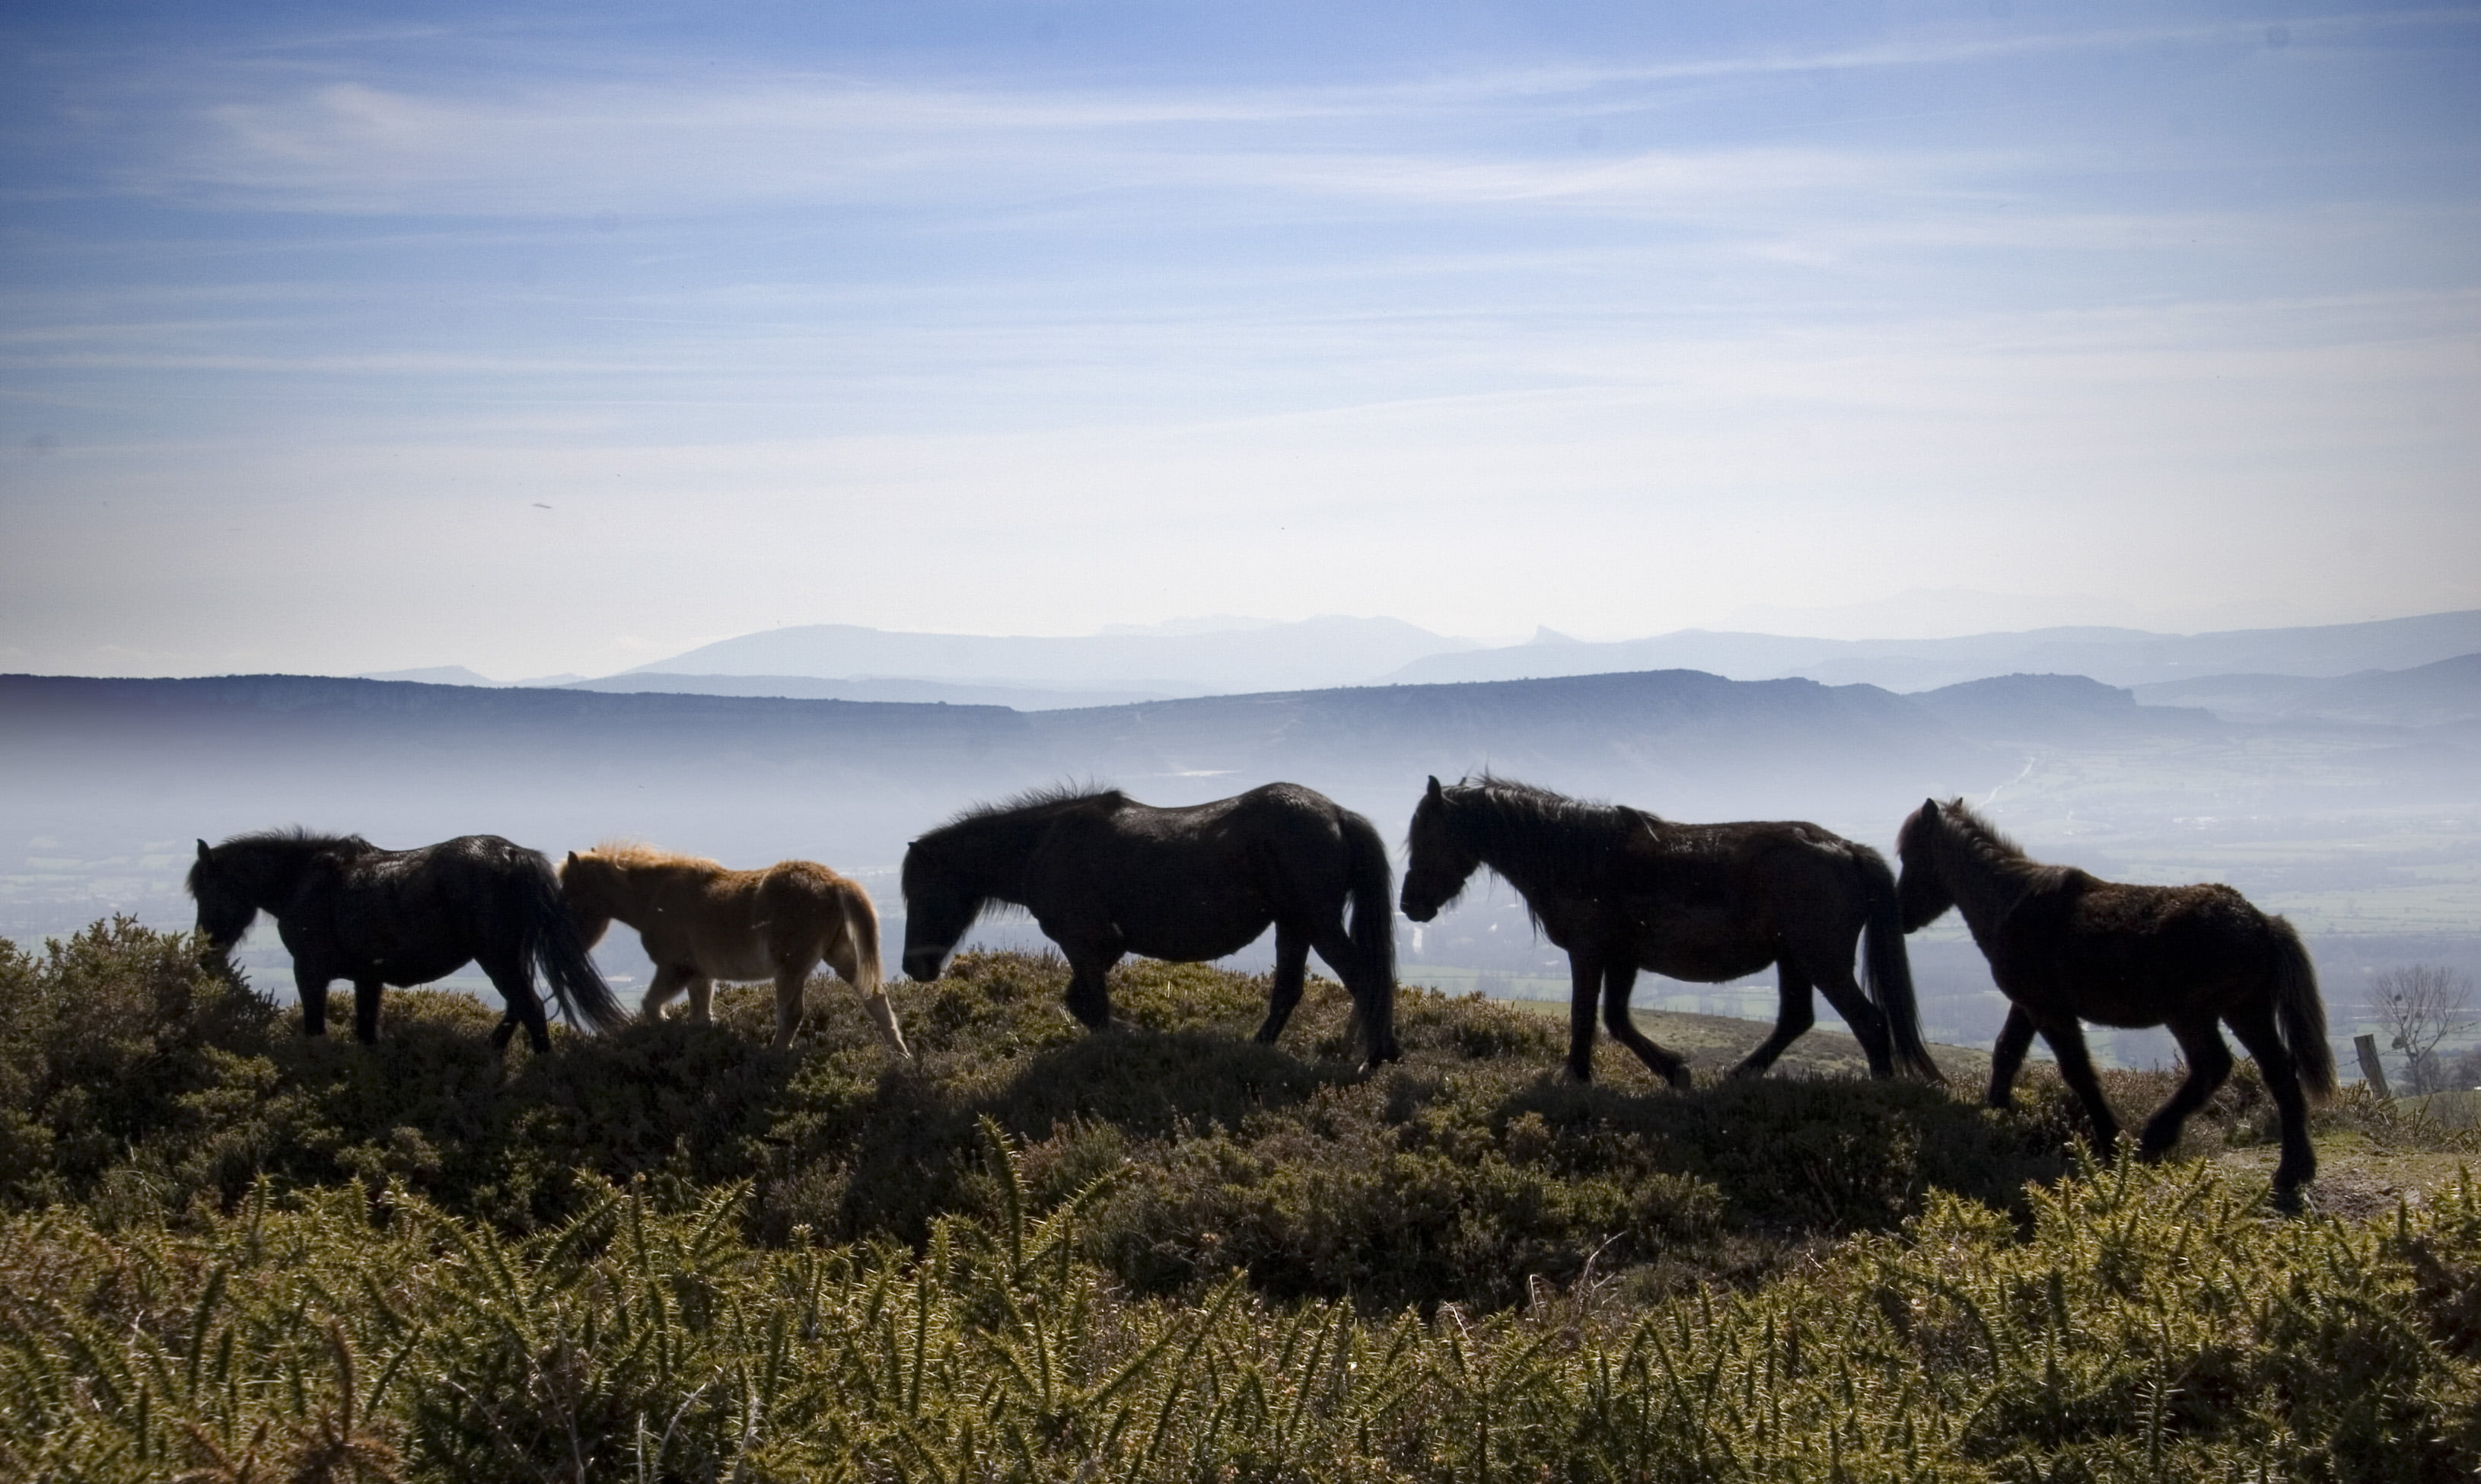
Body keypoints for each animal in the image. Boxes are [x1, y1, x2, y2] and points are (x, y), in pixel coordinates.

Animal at [186, 830, 627, 1054]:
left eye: (205, 890)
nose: (204, 956)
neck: (302, 881)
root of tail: (514, 855)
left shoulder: (309, 972)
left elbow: (315, 1029)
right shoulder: (368, 978)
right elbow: (366, 1032)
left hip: (497, 957)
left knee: (530, 1008)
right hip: (511, 957)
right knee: (519, 1007)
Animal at [559, 843, 910, 1056]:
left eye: (567, 894)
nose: (569, 945)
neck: (653, 898)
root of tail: (837, 883)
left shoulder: (676, 969)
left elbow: (650, 1006)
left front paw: (667, 1032)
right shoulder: (700, 975)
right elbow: (700, 1017)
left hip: (791, 968)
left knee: (791, 1014)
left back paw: (772, 1057)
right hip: (839, 956)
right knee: (875, 997)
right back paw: (900, 1053)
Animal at [900, 782, 1402, 1069]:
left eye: (922, 893)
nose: (911, 967)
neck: (1043, 845)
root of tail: (1337, 814)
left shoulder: (1086, 943)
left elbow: (1094, 1009)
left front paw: (1126, 1043)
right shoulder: (1103, 947)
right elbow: (1083, 1004)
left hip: (1316, 923)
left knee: (1364, 979)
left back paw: (1376, 1059)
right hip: (1294, 925)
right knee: (1290, 990)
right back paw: (1260, 1050)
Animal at [1400, 775, 1940, 1088]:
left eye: (1428, 837)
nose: (1409, 905)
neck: (1576, 854)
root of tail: (1848, 850)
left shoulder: (1589, 953)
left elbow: (1584, 1017)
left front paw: (1575, 1080)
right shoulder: (1621, 958)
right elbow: (1616, 1020)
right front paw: (1674, 1072)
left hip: (1820, 961)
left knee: (1869, 1022)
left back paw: (1880, 1092)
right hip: (1794, 960)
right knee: (1796, 1019)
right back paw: (1738, 1077)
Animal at [1895, 797, 2334, 1201]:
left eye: (1910, 855)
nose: (1901, 917)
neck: (2010, 901)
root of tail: (2262, 923)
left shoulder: (2050, 1011)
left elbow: (2078, 1073)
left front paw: (2110, 1142)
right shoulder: (2028, 1006)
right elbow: (2006, 1053)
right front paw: (1998, 1111)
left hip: (2197, 1015)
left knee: (2219, 1066)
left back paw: (2160, 1140)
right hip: (2239, 1011)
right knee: (2271, 1070)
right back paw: (2292, 1170)